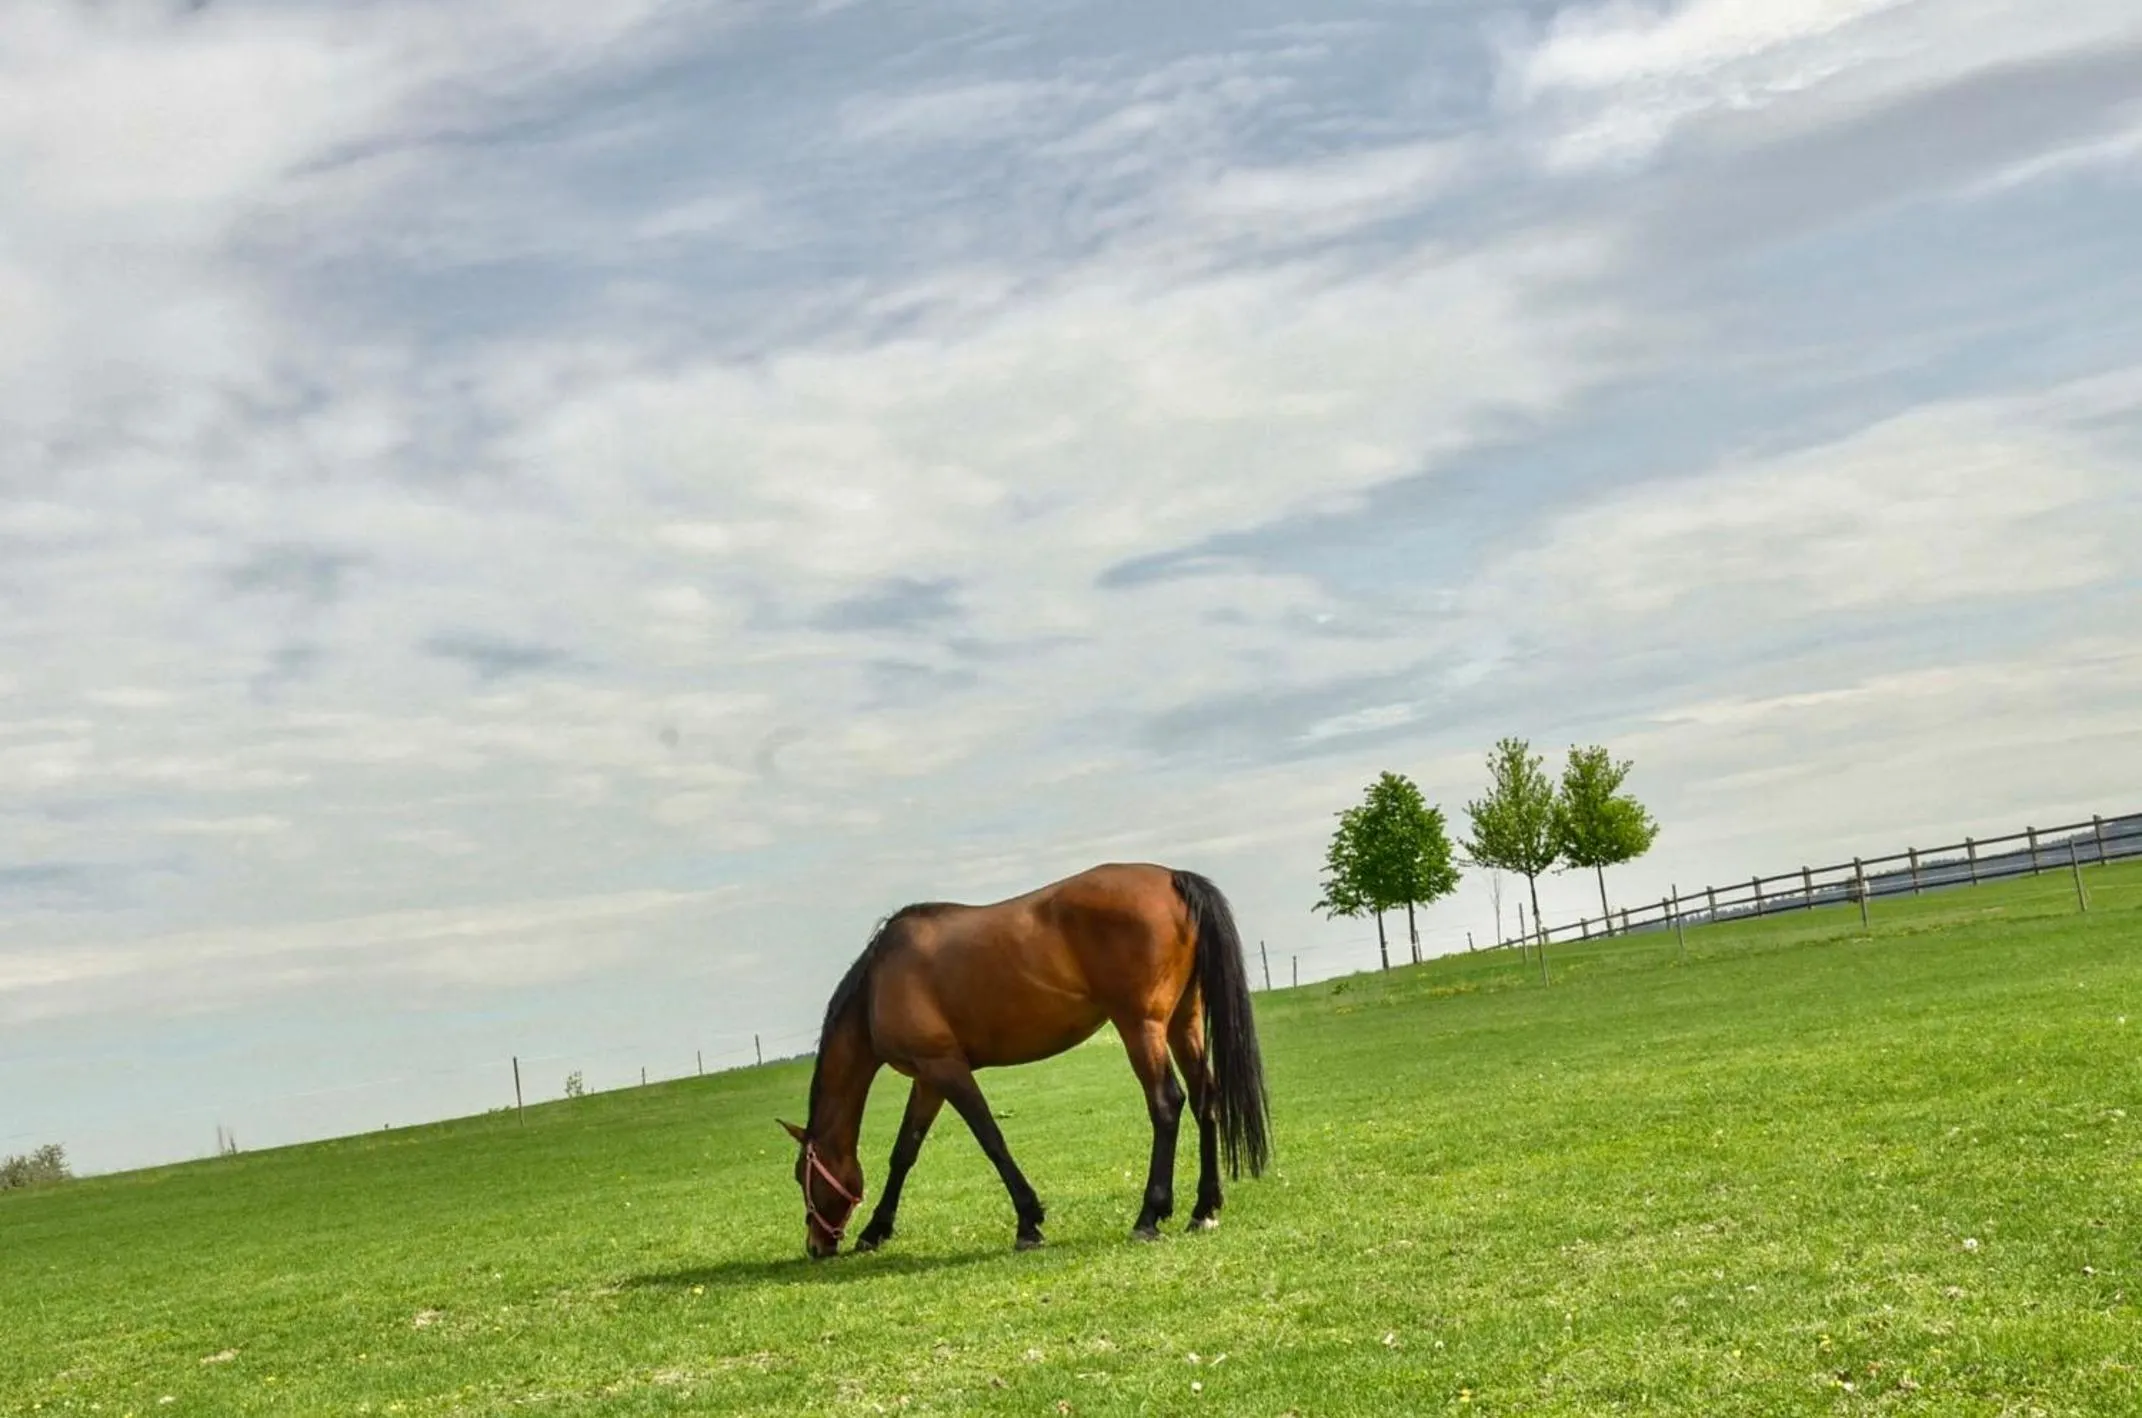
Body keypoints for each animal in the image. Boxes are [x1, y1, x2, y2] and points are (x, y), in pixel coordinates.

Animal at [778, 863, 1271, 1258]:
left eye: (802, 1176)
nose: (816, 1247)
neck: (878, 983)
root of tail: (1171, 878)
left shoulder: (945, 1067)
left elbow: (991, 1139)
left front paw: (1028, 1222)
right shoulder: (928, 1079)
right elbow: (905, 1152)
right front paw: (876, 1231)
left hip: (1140, 1026)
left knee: (1167, 1104)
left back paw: (1149, 1216)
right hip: (1183, 1021)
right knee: (1206, 1100)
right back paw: (1203, 1210)